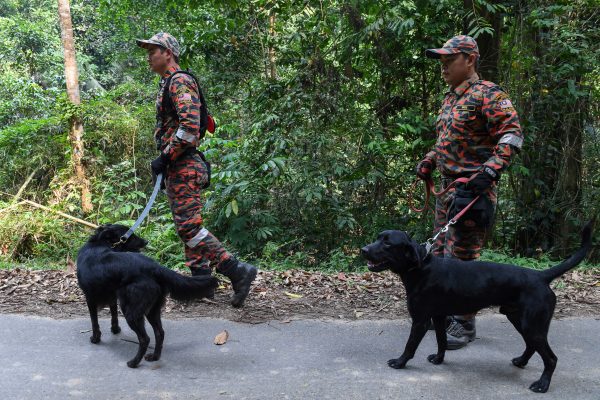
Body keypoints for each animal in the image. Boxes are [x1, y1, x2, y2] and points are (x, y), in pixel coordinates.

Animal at [77, 223, 218, 368]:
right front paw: (115, 330)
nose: (146, 241)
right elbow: (114, 315)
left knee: (145, 339)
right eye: (131, 236)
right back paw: (154, 357)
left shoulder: (90, 298)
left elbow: (94, 322)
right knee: (160, 333)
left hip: (131, 312)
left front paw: (95, 338)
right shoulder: (112, 298)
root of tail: (154, 267)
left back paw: (134, 362)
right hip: (152, 309)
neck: (99, 243)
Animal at [364, 222, 592, 394]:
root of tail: (541, 276)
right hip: (520, 321)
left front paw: (400, 362)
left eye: (387, 243)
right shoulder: (438, 317)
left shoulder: (421, 320)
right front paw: (438, 359)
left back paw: (542, 385)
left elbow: (410, 345)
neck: (420, 267)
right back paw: (521, 361)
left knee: (551, 358)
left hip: (532, 325)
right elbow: (441, 341)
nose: (363, 250)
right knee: (531, 346)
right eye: (378, 238)